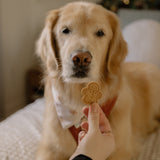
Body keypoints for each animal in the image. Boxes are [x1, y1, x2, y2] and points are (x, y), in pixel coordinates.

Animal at [35, 1, 160, 160]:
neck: (77, 100)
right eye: (65, 30)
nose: (81, 58)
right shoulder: (49, 149)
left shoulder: (120, 151)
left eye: (100, 33)